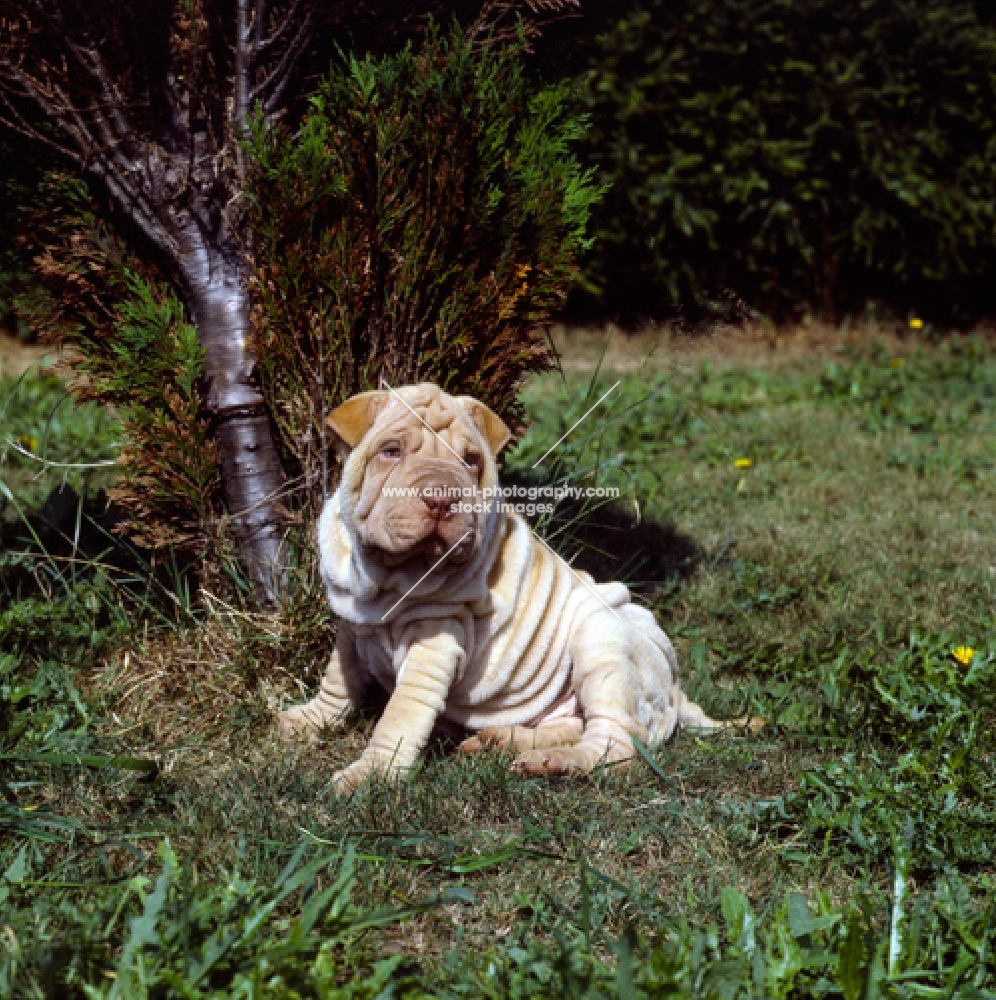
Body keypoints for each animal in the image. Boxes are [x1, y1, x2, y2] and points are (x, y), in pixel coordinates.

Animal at [278, 382, 732, 788]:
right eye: (391, 451)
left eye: (470, 461)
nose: (442, 498)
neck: (386, 577)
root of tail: (676, 689)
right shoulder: (351, 620)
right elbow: (338, 681)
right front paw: (308, 719)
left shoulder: (435, 642)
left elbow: (401, 714)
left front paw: (371, 774)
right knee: (575, 723)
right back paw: (503, 742)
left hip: (602, 641)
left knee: (616, 744)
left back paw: (557, 762)